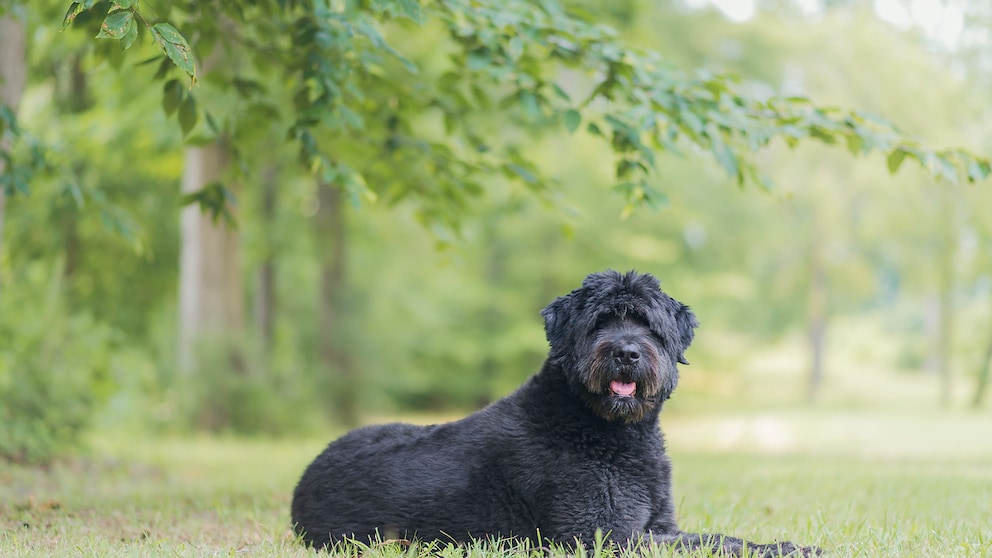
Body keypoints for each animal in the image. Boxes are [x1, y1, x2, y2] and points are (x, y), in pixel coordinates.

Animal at [292, 270, 820, 556]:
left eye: (648, 324)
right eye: (601, 322)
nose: (626, 352)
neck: (605, 431)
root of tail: (303, 481)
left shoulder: (657, 527)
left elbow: (713, 537)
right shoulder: (605, 537)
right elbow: (713, 543)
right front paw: (787, 548)